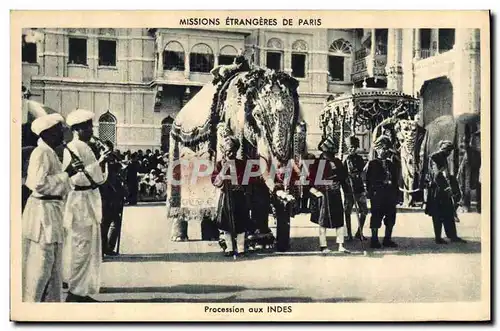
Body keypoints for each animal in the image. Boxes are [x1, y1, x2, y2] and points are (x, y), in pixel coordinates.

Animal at [166, 65, 302, 246]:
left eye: (294, 118)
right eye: (257, 116)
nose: (290, 201)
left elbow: (259, 183)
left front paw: (263, 240)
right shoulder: (231, 126)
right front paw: (253, 238)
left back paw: (212, 236)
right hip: (175, 147)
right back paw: (179, 238)